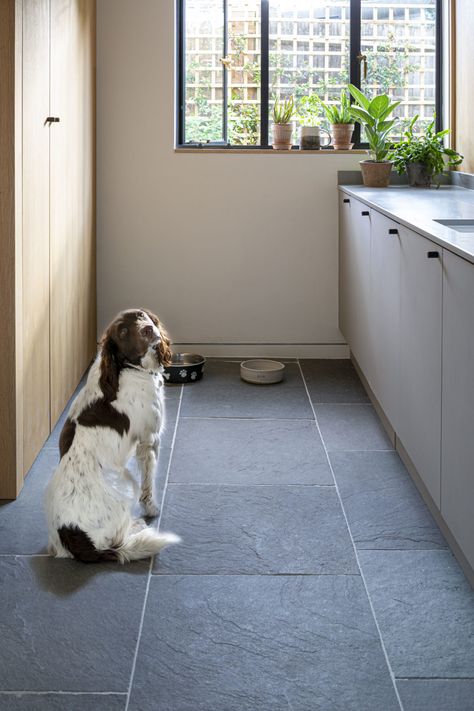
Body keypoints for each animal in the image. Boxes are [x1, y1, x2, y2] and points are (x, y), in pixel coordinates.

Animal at [45, 308, 180, 564]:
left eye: (141, 316)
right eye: (123, 332)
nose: (148, 329)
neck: (126, 368)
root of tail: (72, 535)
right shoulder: (149, 441)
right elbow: (149, 485)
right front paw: (152, 509)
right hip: (127, 482)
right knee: (119, 537)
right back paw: (138, 526)